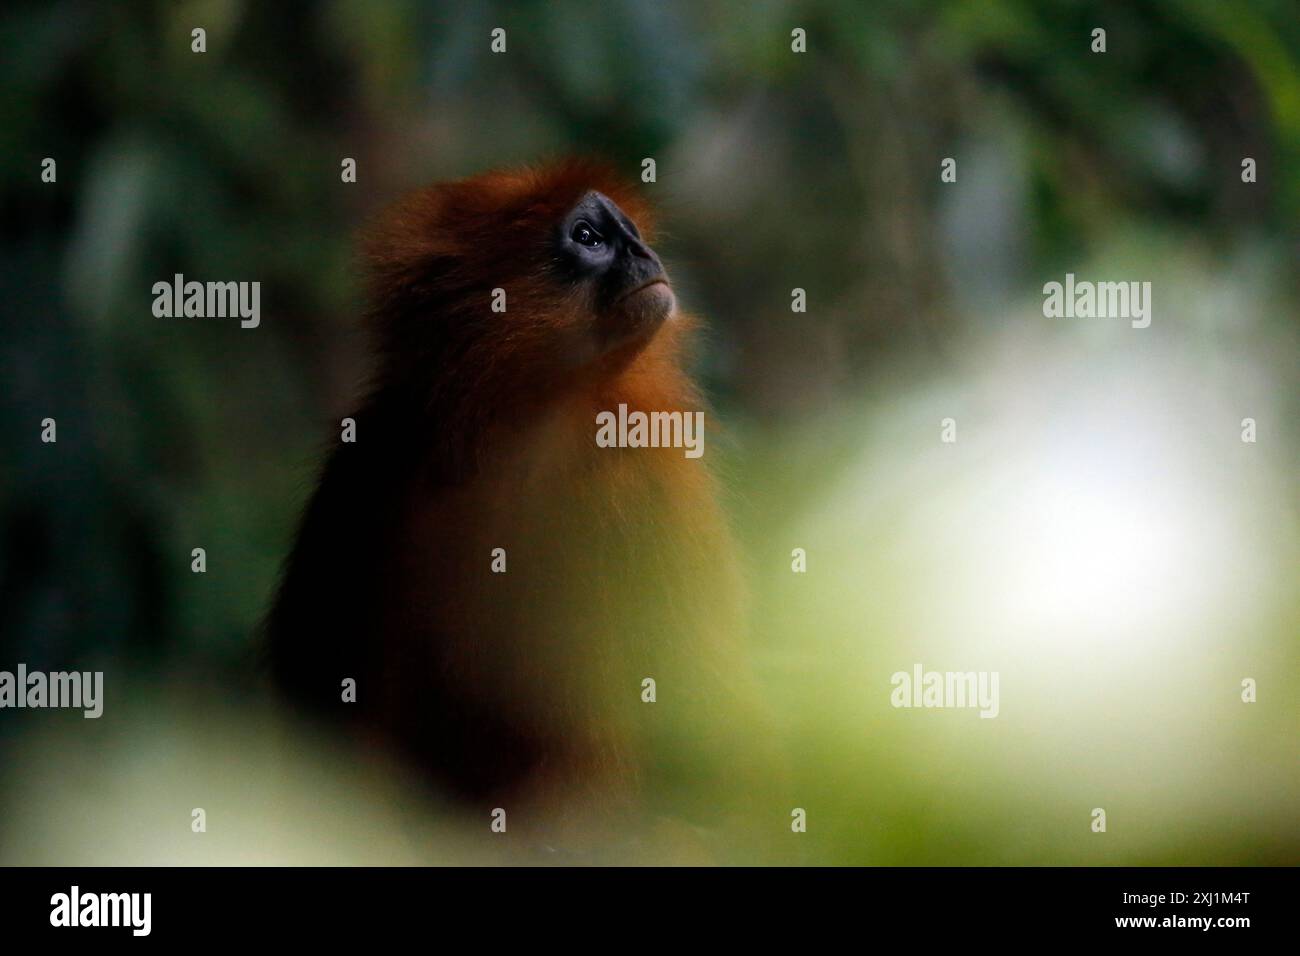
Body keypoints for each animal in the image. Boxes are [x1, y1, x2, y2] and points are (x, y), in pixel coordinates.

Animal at [266, 159, 771, 852]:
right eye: (589, 237)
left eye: (631, 232)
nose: (644, 254)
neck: (530, 427)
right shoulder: (375, 450)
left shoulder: (649, 463)